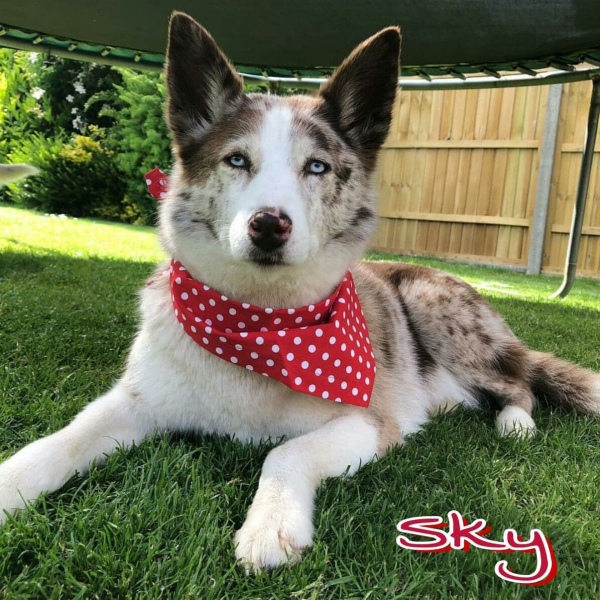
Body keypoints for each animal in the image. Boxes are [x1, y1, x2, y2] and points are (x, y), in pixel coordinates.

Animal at [1, 10, 600, 572]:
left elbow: (286, 453)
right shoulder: (134, 402)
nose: (269, 225)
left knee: (519, 383)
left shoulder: (368, 422)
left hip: (436, 311)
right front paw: (12, 484)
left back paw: (515, 424)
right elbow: (64, 438)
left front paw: (271, 526)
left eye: (316, 167)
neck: (259, 321)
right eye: (236, 159)